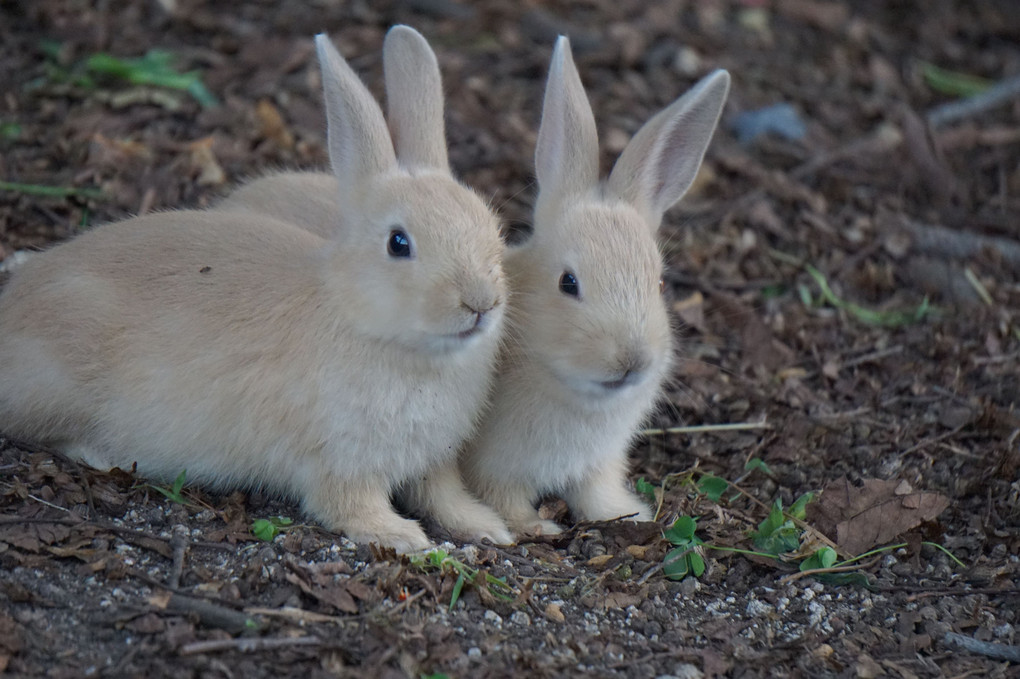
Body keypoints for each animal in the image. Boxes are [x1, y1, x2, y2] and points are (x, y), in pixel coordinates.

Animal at [0, 29, 510, 554]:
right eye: (399, 243)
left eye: (492, 227)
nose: (480, 302)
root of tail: (9, 308)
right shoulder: (340, 463)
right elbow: (350, 505)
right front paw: (403, 536)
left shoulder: (435, 461)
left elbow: (445, 496)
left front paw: (489, 527)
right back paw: (101, 455)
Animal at [459, 35, 730, 534]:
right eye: (568, 283)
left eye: (659, 283)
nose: (632, 361)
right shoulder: (495, 470)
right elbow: (505, 500)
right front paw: (537, 528)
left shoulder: (599, 464)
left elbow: (596, 493)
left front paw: (629, 514)